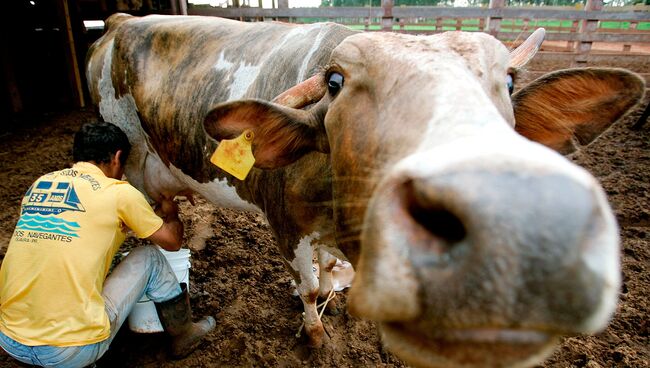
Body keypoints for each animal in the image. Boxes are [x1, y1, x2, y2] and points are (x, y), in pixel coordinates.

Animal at [86, 13, 644, 368]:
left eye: (508, 82)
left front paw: (334, 301)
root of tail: (119, 22)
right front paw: (315, 333)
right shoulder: (285, 226)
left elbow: (330, 277)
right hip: (131, 165)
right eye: (334, 82)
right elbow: (310, 287)